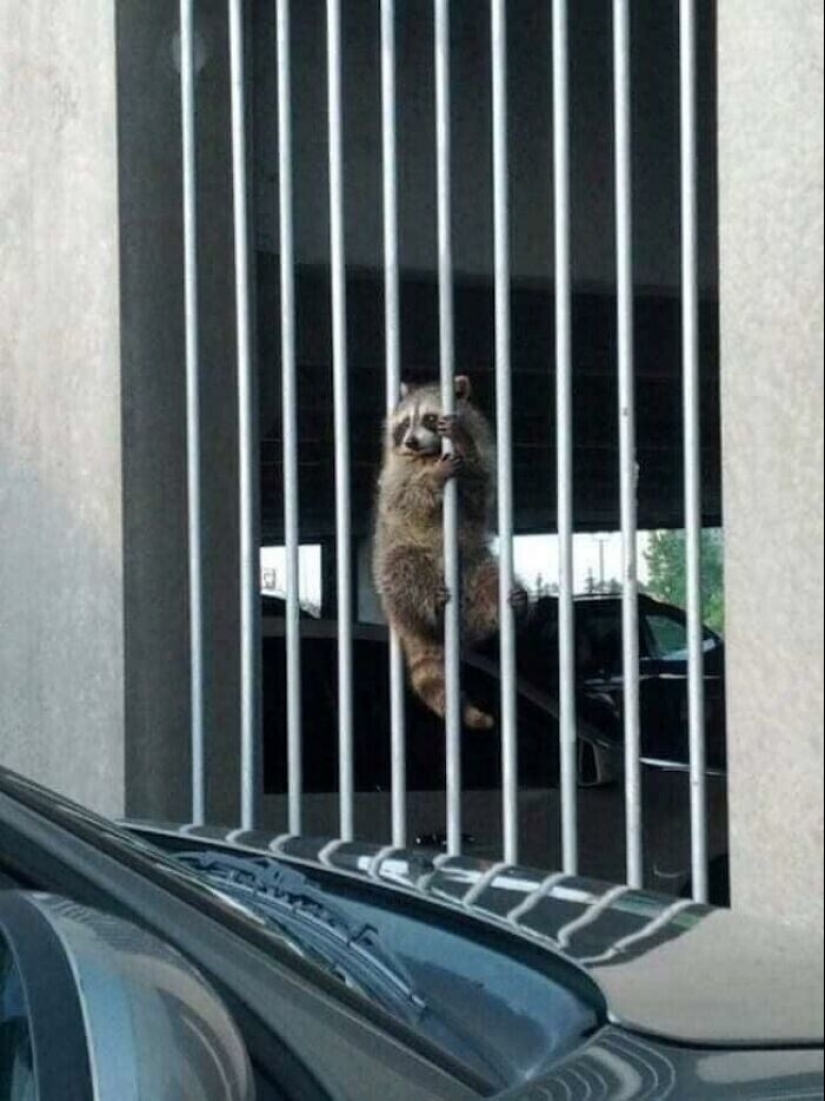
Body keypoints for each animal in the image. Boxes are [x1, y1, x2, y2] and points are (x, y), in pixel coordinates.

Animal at [373, 376, 528, 730]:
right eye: (405, 423)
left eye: (429, 418)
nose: (411, 442)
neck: (429, 454)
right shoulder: (395, 476)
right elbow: (406, 499)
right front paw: (432, 478)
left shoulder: (486, 462)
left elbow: (479, 489)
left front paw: (463, 443)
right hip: (396, 566)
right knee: (401, 566)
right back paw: (426, 601)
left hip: (470, 562)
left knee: (488, 580)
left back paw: (504, 605)